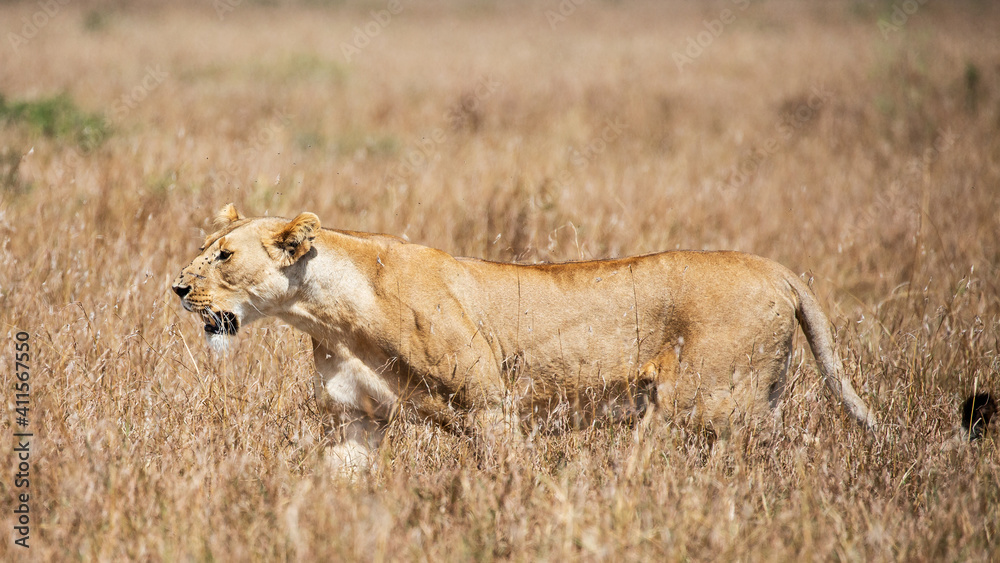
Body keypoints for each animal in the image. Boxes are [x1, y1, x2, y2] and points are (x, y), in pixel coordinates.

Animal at [172, 204, 876, 472]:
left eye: (225, 256)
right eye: (204, 247)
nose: (178, 288)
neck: (329, 314)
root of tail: (778, 269)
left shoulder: (491, 408)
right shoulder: (360, 420)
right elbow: (333, 473)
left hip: (712, 407)